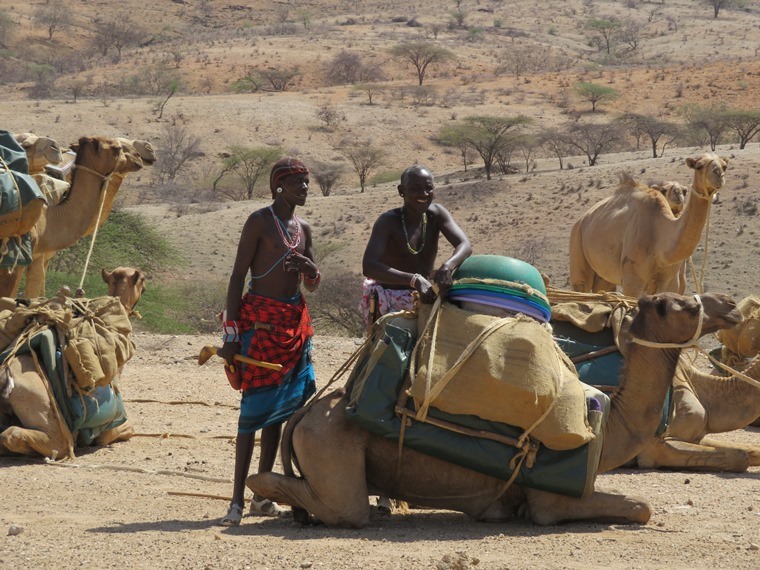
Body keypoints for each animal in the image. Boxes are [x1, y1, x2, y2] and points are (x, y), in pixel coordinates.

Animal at [246, 290, 740, 524]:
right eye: (669, 304)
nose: (728, 305)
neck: (608, 429)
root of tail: (305, 413)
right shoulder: (551, 503)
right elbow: (641, 506)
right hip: (331, 448)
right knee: (339, 506)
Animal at [568, 153, 732, 296]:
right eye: (699, 166)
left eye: (724, 166)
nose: (718, 174)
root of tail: (580, 220)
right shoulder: (632, 279)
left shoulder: (670, 282)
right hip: (577, 245)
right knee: (581, 285)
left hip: (604, 273)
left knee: (602, 287)